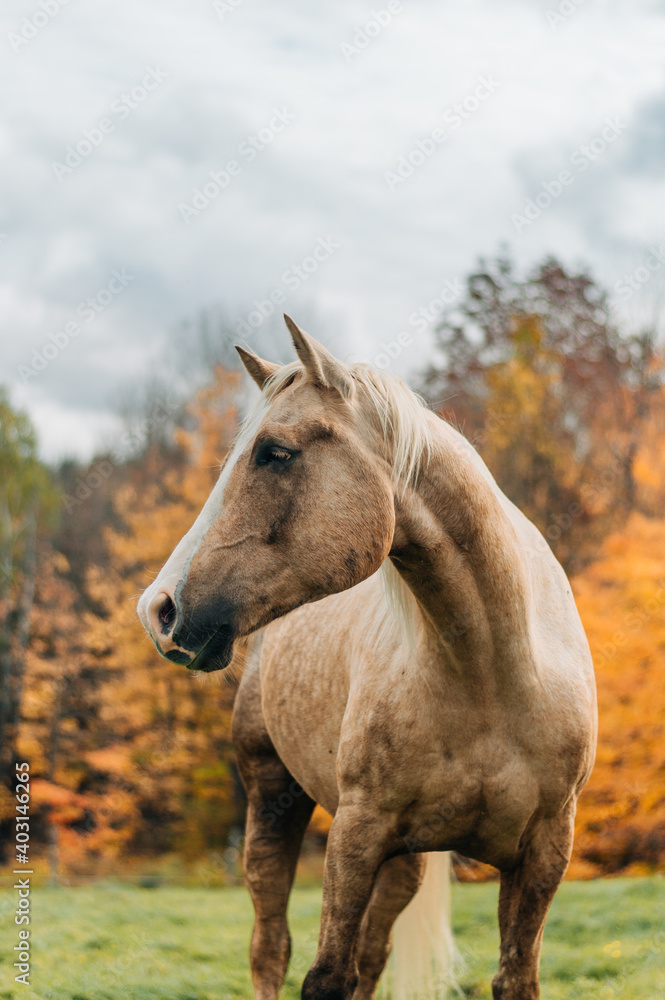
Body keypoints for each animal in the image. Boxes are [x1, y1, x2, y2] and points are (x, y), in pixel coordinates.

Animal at [137, 315, 597, 1000]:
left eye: (275, 452)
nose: (159, 609)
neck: (492, 675)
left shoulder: (544, 853)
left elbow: (513, 976)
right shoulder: (356, 836)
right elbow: (326, 975)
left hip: (404, 866)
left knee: (371, 957)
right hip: (271, 800)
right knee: (269, 946)